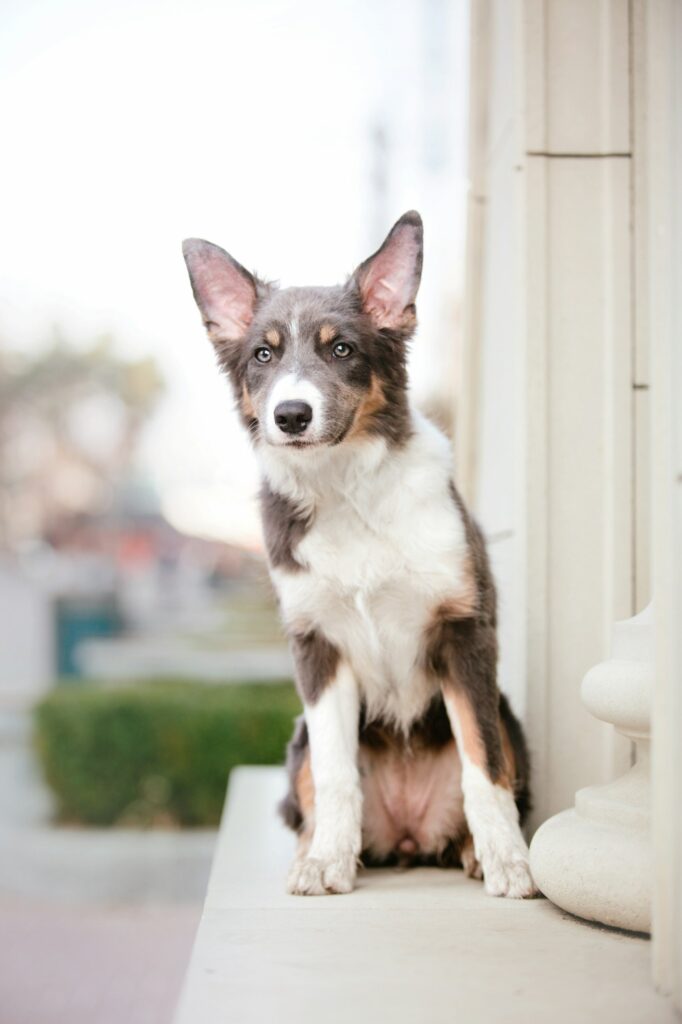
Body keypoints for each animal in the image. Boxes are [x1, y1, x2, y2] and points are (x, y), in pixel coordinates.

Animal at [183, 214, 532, 897]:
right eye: (263, 354)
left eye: (341, 349)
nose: (291, 415)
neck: (346, 489)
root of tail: (409, 836)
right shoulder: (317, 646)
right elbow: (335, 773)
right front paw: (327, 862)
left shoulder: (464, 632)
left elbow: (484, 763)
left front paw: (508, 860)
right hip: (296, 737)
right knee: (309, 794)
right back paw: (316, 850)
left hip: (511, 715)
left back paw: (474, 851)